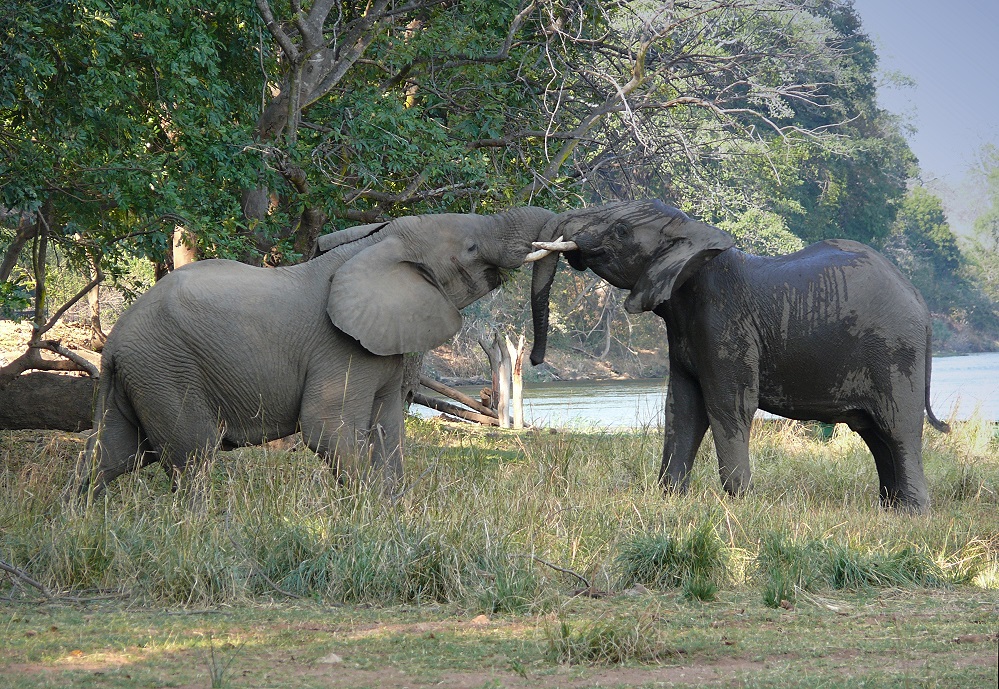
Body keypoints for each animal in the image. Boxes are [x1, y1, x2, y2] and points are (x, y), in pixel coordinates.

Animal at [80, 206, 556, 494]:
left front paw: (394, 516)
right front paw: (371, 513)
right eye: (470, 248)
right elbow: (326, 428)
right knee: (192, 455)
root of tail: (112, 345)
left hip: (143, 374)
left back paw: (78, 516)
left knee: (111, 453)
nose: (535, 359)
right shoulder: (339, 348)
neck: (376, 245)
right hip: (167, 370)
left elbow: (388, 429)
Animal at [528, 199, 948, 510]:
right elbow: (682, 408)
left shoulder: (727, 326)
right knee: (874, 433)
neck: (695, 237)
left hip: (895, 351)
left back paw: (913, 514)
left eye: (621, 231)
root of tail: (921, 302)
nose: (534, 361)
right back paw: (889, 510)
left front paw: (739, 504)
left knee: (897, 428)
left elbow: (727, 404)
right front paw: (670, 499)